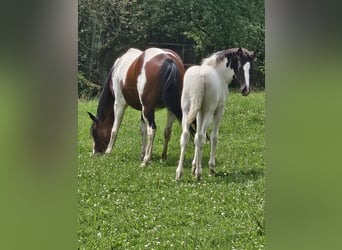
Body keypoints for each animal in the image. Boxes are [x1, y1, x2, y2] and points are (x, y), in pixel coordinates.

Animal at [176, 47, 256, 180]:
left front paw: (193, 167)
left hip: (186, 112)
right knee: (201, 137)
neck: (219, 75)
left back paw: (179, 173)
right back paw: (199, 174)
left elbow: (196, 136)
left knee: (187, 136)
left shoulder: (199, 112)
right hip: (209, 112)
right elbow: (214, 137)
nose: (245, 90)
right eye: (240, 66)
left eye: (250, 68)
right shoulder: (219, 111)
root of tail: (200, 77)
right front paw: (210, 168)